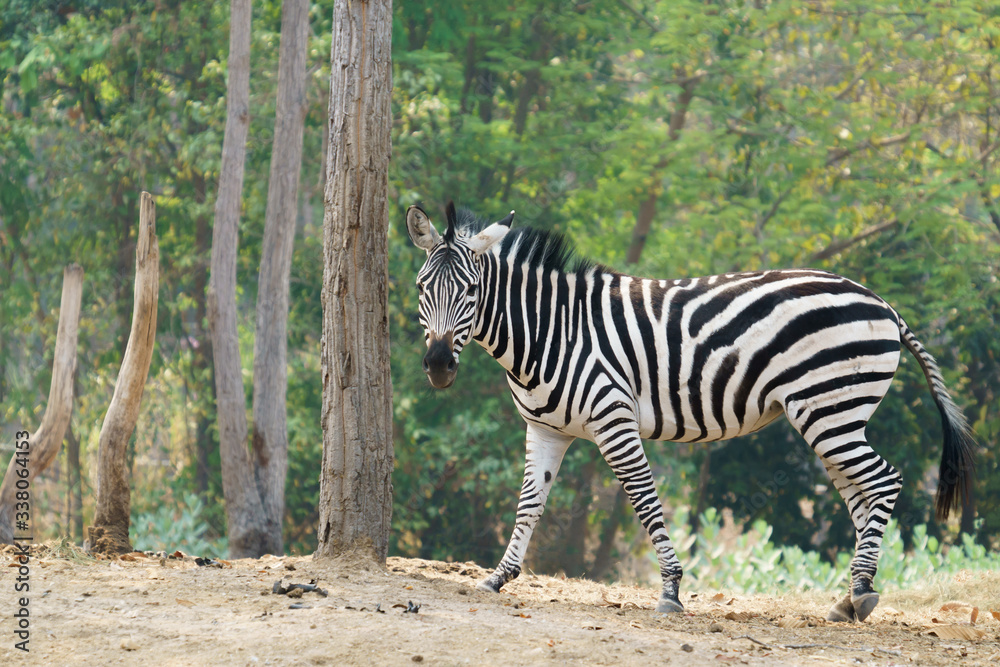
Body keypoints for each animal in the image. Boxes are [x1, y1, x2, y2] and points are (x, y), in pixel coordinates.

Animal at [404, 201, 976, 624]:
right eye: (421, 288)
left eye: (471, 290)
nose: (437, 367)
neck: (551, 332)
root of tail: (882, 303)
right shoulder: (545, 430)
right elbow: (528, 504)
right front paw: (499, 576)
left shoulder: (614, 419)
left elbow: (645, 501)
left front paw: (671, 591)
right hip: (833, 415)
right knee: (861, 495)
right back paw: (852, 595)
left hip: (828, 409)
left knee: (883, 482)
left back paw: (859, 591)